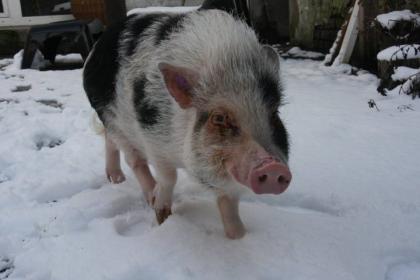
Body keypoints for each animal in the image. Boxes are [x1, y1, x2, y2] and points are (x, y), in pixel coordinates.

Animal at [83, 9, 292, 240]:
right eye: (219, 118)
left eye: (274, 114)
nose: (273, 166)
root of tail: (97, 45)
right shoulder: (153, 139)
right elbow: (168, 177)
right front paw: (161, 215)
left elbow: (229, 202)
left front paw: (238, 236)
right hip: (112, 118)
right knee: (133, 159)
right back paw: (143, 193)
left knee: (110, 142)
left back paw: (117, 180)